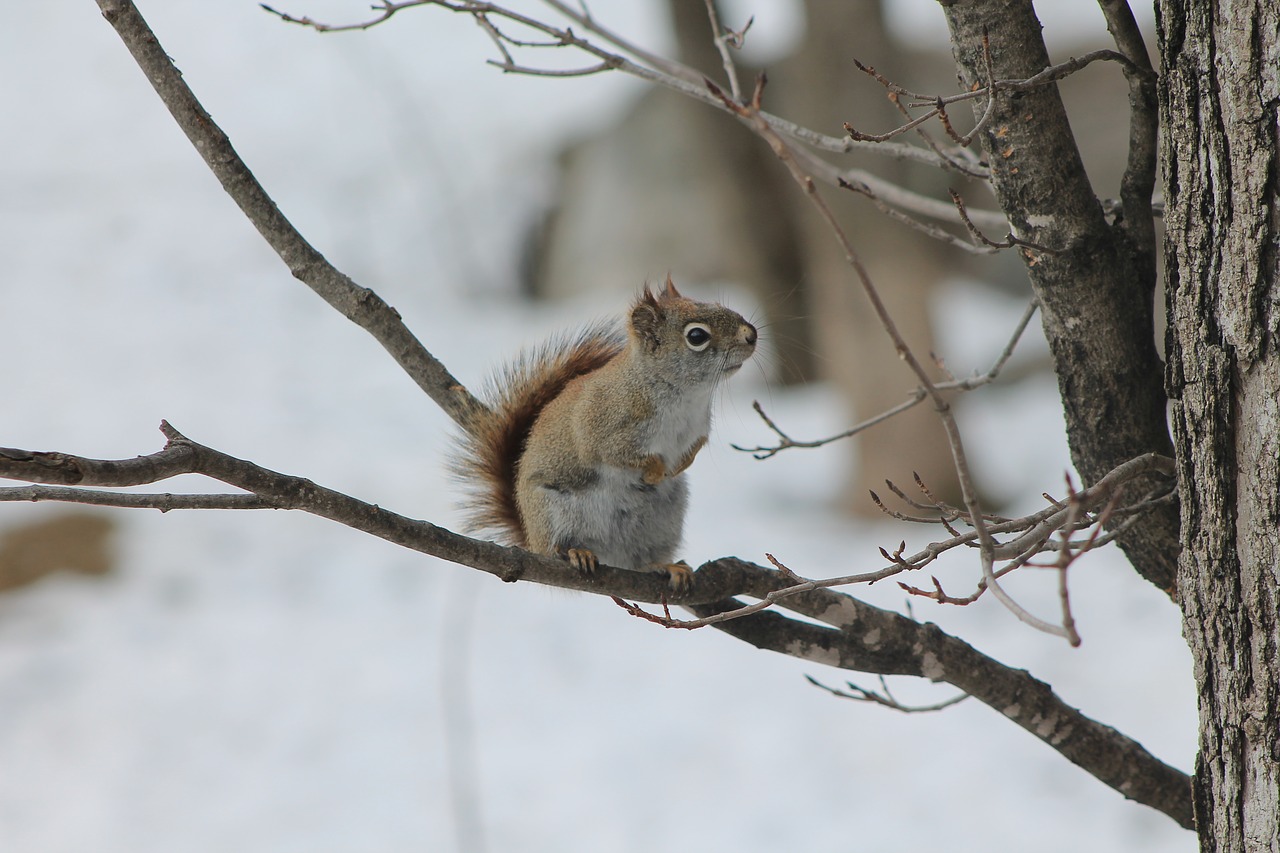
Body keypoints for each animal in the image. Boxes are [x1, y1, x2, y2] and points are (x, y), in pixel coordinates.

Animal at [458, 275, 752, 589]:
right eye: (697, 336)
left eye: (717, 303)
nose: (752, 335)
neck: (686, 397)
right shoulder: (601, 427)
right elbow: (616, 454)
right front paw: (654, 470)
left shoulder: (698, 430)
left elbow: (694, 449)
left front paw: (678, 466)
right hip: (553, 511)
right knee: (555, 546)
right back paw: (574, 551)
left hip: (662, 522)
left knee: (639, 560)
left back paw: (665, 566)